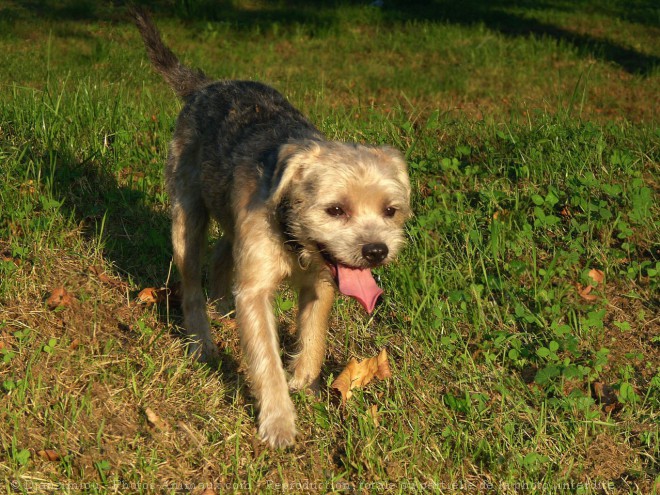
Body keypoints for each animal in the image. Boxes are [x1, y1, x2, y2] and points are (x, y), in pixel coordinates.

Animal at [135, 8, 410, 450]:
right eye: (335, 210)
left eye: (390, 210)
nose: (375, 250)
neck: (294, 238)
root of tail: (206, 85)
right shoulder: (256, 288)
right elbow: (266, 359)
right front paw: (279, 421)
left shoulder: (321, 284)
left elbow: (314, 340)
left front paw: (305, 382)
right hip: (187, 217)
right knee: (192, 282)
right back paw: (202, 341)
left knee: (222, 253)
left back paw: (223, 306)